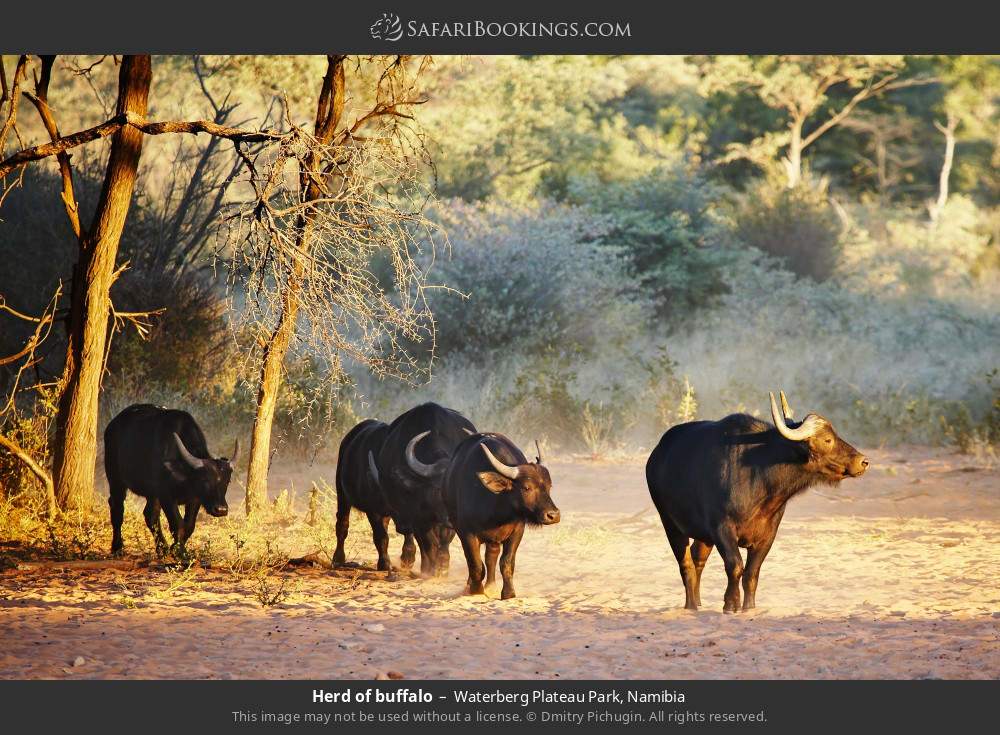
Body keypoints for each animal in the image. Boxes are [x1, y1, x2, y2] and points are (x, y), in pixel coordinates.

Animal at [104, 404, 238, 555]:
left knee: (150, 515)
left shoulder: (195, 498)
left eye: (227, 481)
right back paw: (117, 547)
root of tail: (112, 425)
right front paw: (180, 552)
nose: (221, 509)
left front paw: (177, 547)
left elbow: (189, 525)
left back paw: (162, 548)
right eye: (205, 480)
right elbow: (177, 524)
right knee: (117, 507)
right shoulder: (166, 496)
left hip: (151, 493)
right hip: (115, 479)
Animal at [333, 419, 416, 572]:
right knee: (342, 524)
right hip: (342, 493)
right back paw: (338, 558)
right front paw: (384, 563)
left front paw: (408, 558)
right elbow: (381, 536)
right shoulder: (373, 510)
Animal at [373, 402, 477, 577]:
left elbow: (444, 540)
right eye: (438, 489)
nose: (450, 517)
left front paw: (443, 565)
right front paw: (431, 568)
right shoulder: (417, 516)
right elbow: (428, 542)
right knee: (413, 537)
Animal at [444, 433, 559, 599]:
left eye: (549, 486)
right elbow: (476, 564)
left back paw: (491, 586)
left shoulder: (517, 531)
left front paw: (508, 593)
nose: (553, 515)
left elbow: (507, 562)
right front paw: (476, 591)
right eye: (527, 488)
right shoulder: (467, 533)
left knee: (491, 556)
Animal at [645, 391, 868, 612]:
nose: (863, 461)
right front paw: (731, 604)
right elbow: (735, 566)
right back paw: (691, 606)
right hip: (670, 524)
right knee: (686, 565)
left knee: (697, 559)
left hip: (703, 535)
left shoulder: (768, 535)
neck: (759, 480)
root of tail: (656, 456)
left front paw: (749, 607)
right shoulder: (722, 529)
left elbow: (752, 573)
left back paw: (698, 602)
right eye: (827, 439)